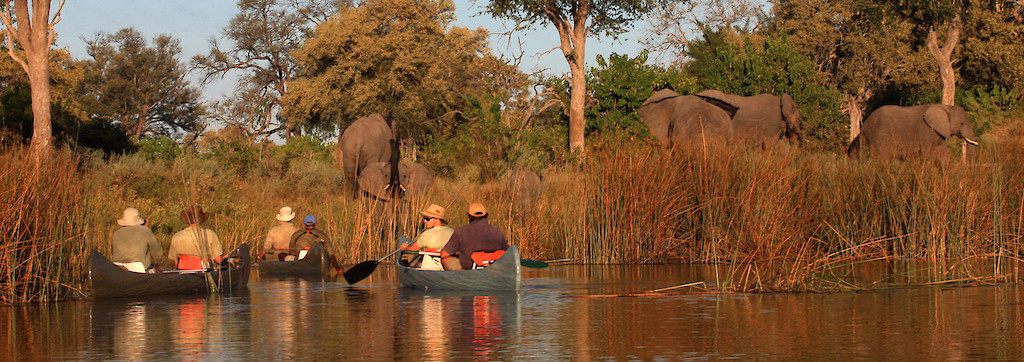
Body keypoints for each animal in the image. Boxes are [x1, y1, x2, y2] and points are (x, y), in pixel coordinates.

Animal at [843, 102, 978, 157]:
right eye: (962, 123)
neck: (945, 107)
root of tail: (865, 126)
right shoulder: (926, 131)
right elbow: (928, 152)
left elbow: (943, 152)